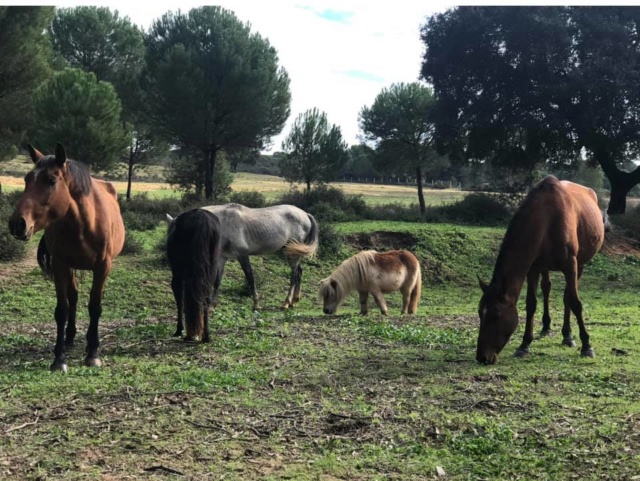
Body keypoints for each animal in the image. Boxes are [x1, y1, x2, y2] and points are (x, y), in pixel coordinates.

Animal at [9, 142, 125, 372]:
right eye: (27, 179)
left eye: (51, 181)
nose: (17, 223)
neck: (85, 223)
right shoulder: (60, 265)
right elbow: (62, 309)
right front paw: (59, 358)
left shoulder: (102, 266)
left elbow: (95, 306)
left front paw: (93, 353)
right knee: (74, 296)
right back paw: (70, 337)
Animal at [478, 176, 608, 364]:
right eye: (480, 313)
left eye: (496, 314)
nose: (482, 356)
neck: (548, 218)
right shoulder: (534, 267)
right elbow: (531, 303)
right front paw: (524, 344)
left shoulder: (571, 265)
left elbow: (575, 303)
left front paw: (587, 345)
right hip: (546, 267)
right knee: (547, 288)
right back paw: (546, 327)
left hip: (580, 265)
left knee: (567, 296)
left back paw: (567, 335)